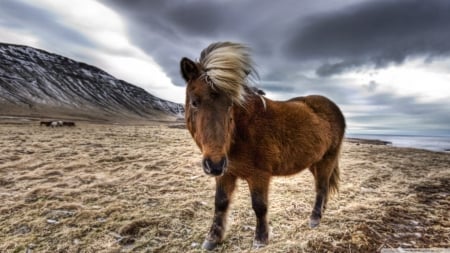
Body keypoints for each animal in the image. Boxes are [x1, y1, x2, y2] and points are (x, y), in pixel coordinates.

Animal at [179, 41, 344, 249]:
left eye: (230, 105)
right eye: (194, 102)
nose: (215, 164)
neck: (240, 132)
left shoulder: (259, 175)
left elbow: (259, 206)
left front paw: (260, 239)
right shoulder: (226, 173)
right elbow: (220, 203)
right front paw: (213, 238)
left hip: (327, 160)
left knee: (321, 187)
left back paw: (315, 218)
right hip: (315, 162)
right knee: (323, 186)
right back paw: (322, 210)